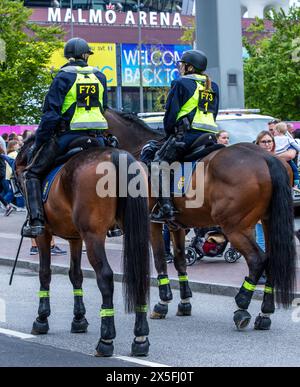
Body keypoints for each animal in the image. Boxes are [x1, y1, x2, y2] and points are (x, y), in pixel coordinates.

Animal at [14, 139, 151, 358]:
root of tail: (117, 154)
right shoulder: (75, 238)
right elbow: (76, 275)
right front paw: (79, 319)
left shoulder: (44, 235)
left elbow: (44, 273)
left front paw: (42, 319)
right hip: (134, 230)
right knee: (139, 274)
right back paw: (140, 338)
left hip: (93, 236)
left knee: (105, 276)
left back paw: (106, 339)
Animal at [105, 110, 296, 334]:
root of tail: (266, 157)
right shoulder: (176, 226)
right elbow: (180, 261)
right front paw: (184, 302)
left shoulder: (152, 223)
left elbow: (160, 260)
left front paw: (163, 303)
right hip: (266, 222)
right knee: (272, 260)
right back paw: (265, 314)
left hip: (235, 227)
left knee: (257, 260)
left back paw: (242, 306)